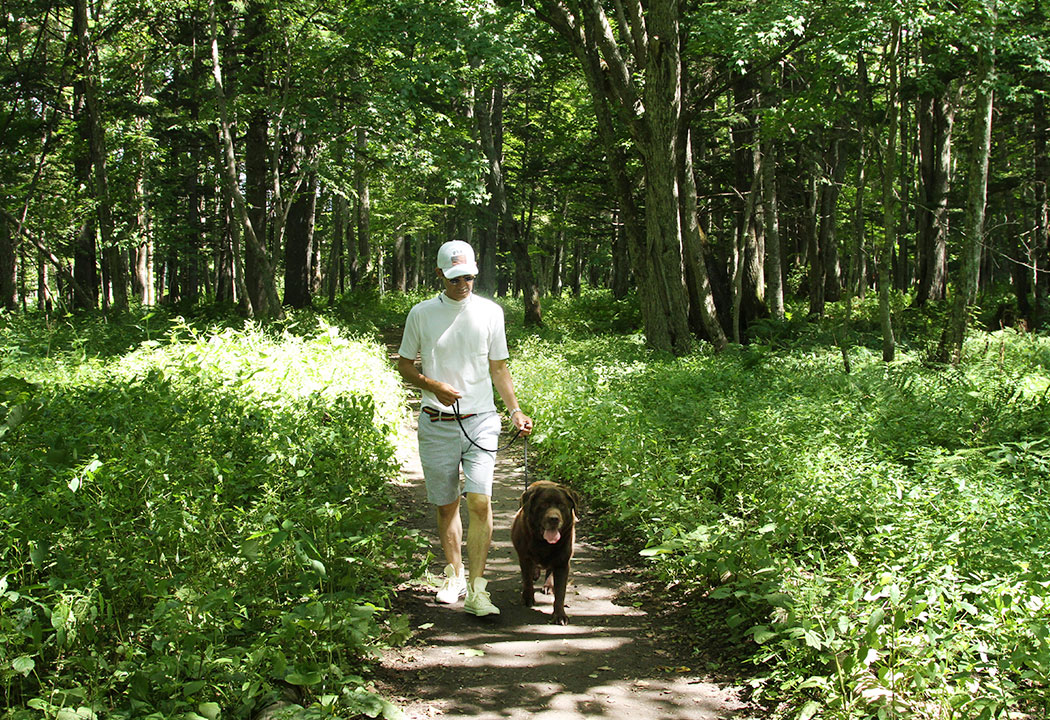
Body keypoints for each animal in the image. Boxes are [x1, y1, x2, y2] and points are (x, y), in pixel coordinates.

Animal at [510, 484, 579, 625]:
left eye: (561, 505)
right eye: (544, 505)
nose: (554, 519)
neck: (544, 543)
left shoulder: (562, 563)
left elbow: (560, 592)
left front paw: (560, 615)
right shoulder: (524, 557)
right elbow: (527, 579)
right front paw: (528, 598)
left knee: (549, 570)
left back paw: (548, 585)